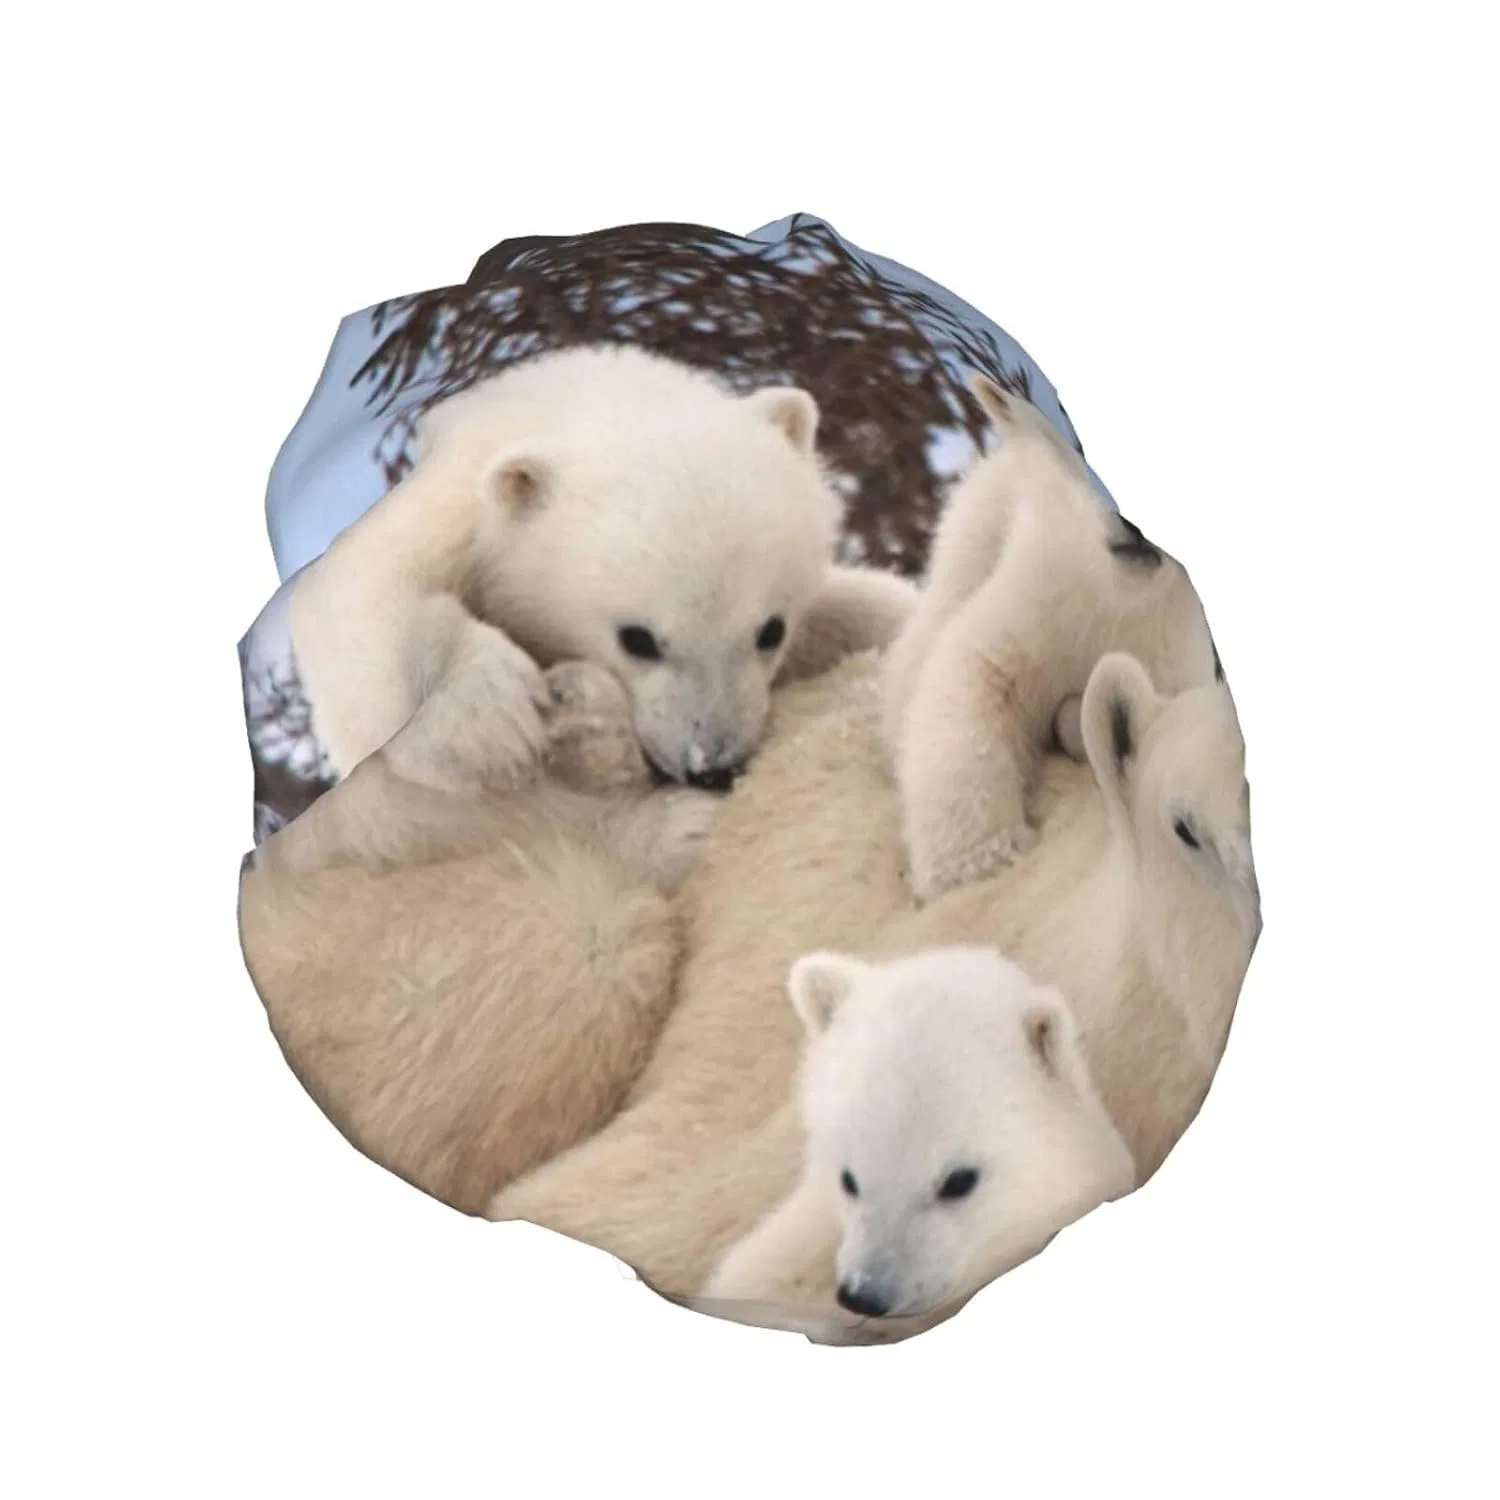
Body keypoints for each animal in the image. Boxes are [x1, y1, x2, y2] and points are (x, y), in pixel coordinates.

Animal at [287, 341, 917, 795]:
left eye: (771, 630)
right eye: (637, 639)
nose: (711, 767)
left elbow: (869, 609)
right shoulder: (452, 510)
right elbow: (361, 591)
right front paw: (485, 720)